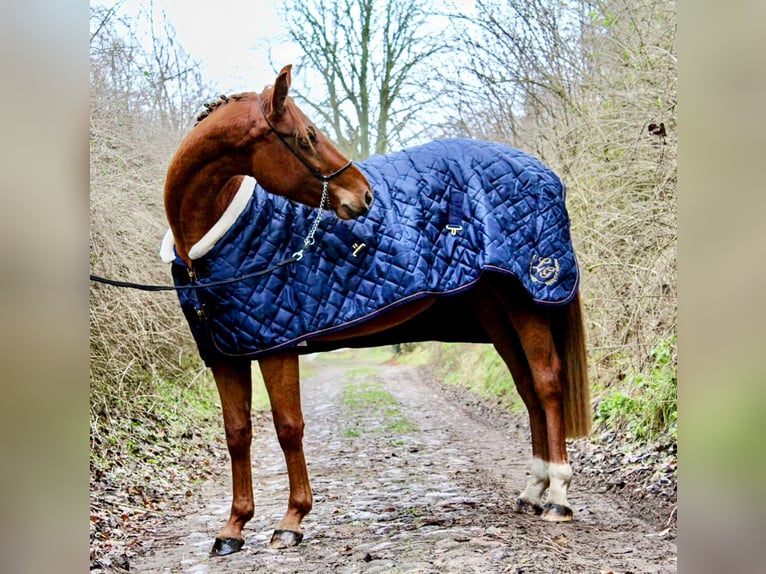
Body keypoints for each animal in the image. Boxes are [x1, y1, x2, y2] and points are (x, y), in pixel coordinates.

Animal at [164, 66, 592, 560]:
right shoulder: (226, 355)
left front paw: (291, 521)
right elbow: (237, 434)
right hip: (495, 308)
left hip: (527, 300)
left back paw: (557, 496)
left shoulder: (276, 345)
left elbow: (288, 427)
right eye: (307, 136)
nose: (365, 196)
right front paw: (232, 528)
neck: (207, 249)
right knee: (527, 388)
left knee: (547, 383)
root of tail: (546, 173)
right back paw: (532, 491)